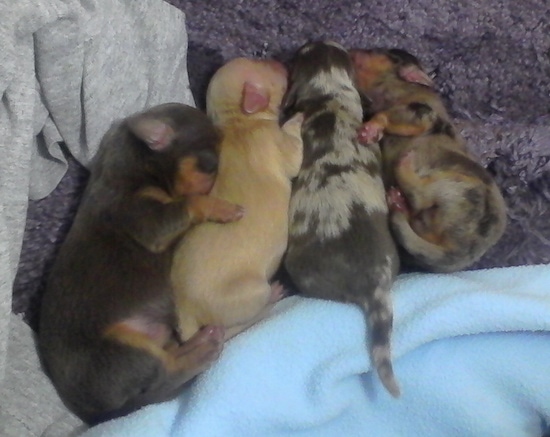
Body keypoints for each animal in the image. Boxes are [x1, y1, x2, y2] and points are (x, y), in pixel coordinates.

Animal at [38, 102, 244, 422]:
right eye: (210, 163)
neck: (134, 168)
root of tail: (95, 412)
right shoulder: (144, 219)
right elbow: (191, 202)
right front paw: (221, 207)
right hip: (124, 349)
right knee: (166, 374)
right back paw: (203, 348)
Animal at [171, 58, 304, 342]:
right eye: (263, 64)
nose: (278, 60)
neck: (237, 119)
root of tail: (185, 312)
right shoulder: (273, 139)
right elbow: (294, 154)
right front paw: (297, 118)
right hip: (251, 291)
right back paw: (274, 296)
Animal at [352, 48, 506, 272]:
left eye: (385, 54)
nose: (352, 51)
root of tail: (457, 251)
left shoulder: (422, 112)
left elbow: (386, 116)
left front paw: (369, 130)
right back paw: (398, 202)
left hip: (459, 187)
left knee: (420, 195)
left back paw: (404, 167)